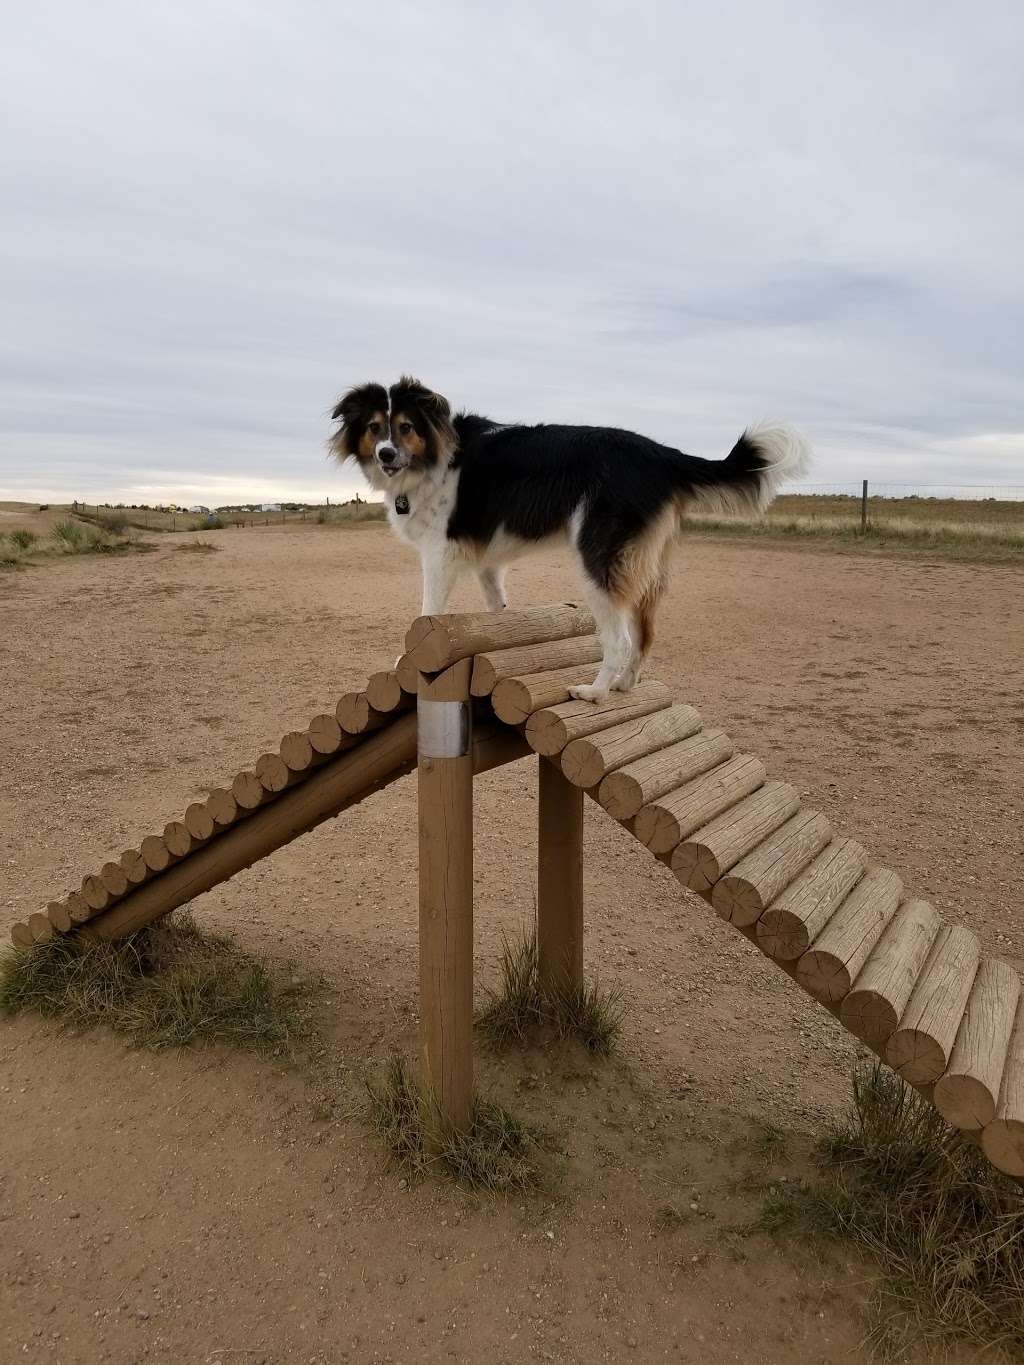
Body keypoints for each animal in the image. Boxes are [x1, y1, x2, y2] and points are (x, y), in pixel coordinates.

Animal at [333, 379, 813, 704]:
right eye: (374, 428)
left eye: (406, 427)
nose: (386, 454)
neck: (433, 456)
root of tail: (661, 454)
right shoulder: (488, 563)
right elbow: (497, 610)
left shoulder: (439, 555)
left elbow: (426, 614)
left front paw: (404, 665)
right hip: (644, 566)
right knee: (645, 634)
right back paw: (625, 685)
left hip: (597, 561)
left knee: (619, 640)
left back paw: (595, 692)